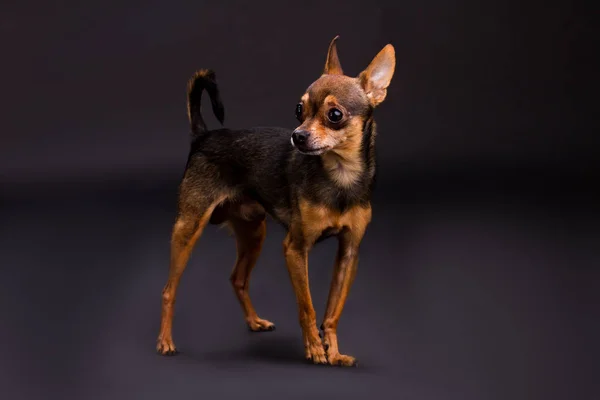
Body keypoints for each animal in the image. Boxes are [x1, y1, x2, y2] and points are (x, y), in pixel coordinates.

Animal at [157, 36, 396, 366]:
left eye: (335, 115)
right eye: (299, 110)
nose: (298, 136)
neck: (340, 176)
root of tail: (203, 136)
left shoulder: (349, 254)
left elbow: (332, 311)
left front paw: (333, 351)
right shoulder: (295, 249)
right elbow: (307, 306)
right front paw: (314, 349)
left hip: (254, 232)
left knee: (237, 279)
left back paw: (254, 322)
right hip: (188, 228)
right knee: (169, 290)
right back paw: (165, 341)